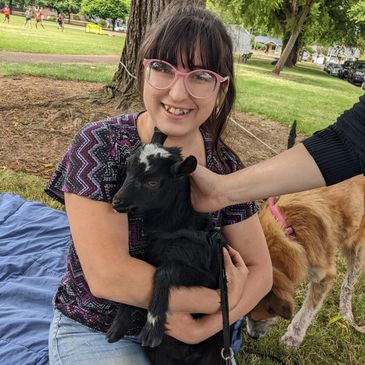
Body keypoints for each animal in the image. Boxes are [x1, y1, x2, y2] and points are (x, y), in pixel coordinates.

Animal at [106, 132, 230, 364]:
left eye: (152, 182)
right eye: (127, 167)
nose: (117, 202)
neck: (176, 227)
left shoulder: (207, 276)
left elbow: (164, 272)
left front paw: (152, 329)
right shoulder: (150, 256)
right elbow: (130, 281)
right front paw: (117, 327)